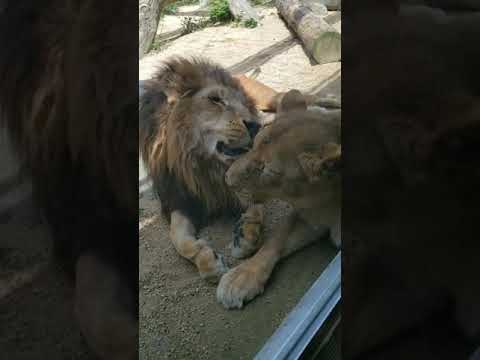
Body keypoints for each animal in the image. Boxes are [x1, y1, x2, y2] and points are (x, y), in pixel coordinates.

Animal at [218, 90, 342, 306]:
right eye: (254, 145)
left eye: (267, 170)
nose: (227, 179)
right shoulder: (309, 215)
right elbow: (275, 239)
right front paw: (240, 277)